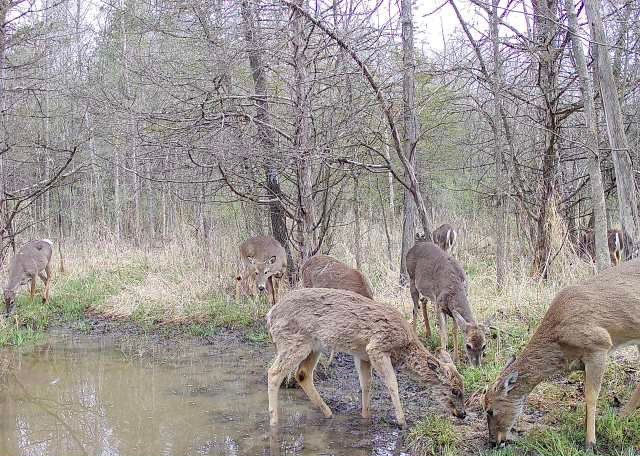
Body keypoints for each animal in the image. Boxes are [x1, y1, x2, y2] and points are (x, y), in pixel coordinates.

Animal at [266, 288, 466, 427]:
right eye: (455, 390)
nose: (463, 414)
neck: (404, 346)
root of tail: (270, 315)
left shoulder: (362, 355)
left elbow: (366, 384)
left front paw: (366, 415)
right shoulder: (377, 347)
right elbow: (392, 383)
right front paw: (402, 421)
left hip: (314, 346)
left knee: (302, 374)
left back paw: (328, 413)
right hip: (293, 341)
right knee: (274, 373)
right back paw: (274, 421)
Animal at [406, 237, 486, 367]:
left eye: (484, 345)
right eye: (468, 346)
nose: (477, 366)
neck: (454, 288)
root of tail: (413, 247)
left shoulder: (453, 310)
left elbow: (454, 331)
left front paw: (456, 359)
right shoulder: (439, 305)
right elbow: (443, 333)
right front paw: (444, 357)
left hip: (427, 291)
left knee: (423, 301)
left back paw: (429, 334)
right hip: (412, 279)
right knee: (414, 308)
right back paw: (415, 337)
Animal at [484, 259, 640, 451]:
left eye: (490, 410)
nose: (493, 442)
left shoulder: (599, 346)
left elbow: (591, 396)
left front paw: (590, 443)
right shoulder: (583, 361)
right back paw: (622, 417)